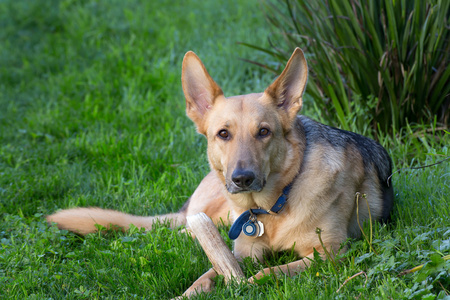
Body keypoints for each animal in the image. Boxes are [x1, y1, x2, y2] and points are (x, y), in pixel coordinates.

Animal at [47, 48, 394, 296]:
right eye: (223, 134)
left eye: (264, 132)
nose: (242, 179)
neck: (275, 204)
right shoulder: (244, 252)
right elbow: (207, 274)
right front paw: (188, 293)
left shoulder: (330, 254)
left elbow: (269, 272)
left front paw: (246, 285)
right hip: (210, 217)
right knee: (172, 231)